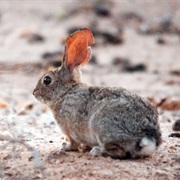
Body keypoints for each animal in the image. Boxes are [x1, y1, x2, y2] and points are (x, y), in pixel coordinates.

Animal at [33, 28, 162, 159]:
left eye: (47, 80)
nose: (34, 93)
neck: (65, 93)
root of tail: (146, 135)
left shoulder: (70, 131)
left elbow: (73, 143)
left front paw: (65, 147)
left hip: (101, 127)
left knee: (119, 152)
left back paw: (97, 151)